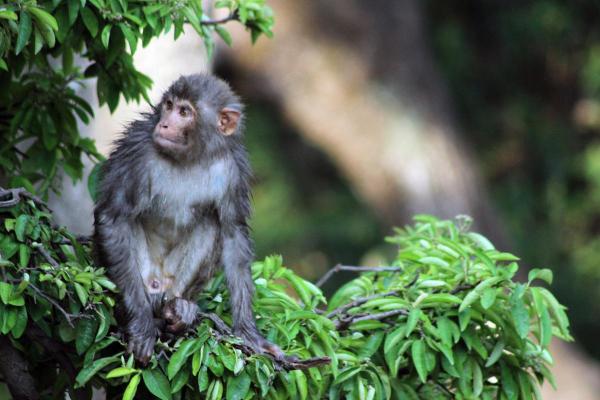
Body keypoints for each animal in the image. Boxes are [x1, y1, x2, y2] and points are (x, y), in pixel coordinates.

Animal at [92, 73, 284, 364]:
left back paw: (180, 309)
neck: (191, 157)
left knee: (211, 223)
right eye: (169, 105)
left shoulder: (234, 168)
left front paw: (249, 333)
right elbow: (114, 217)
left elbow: (234, 235)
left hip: (174, 283)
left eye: (185, 112)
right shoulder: (136, 149)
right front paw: (140, 325)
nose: (164, 123)